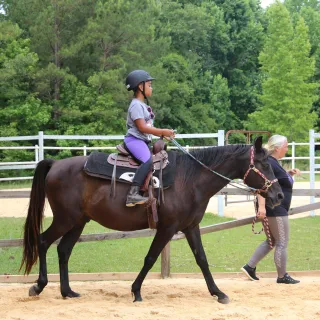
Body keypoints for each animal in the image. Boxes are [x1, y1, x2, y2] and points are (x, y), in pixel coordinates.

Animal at [20, 136, 282, 304]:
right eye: (264, 163)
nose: (278, 195)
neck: (190, 180)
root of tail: (55, 164)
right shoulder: (167, 228)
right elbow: (150, 258)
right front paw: (136, 291)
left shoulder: (190, 227)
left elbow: (202, 259)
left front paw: (218, 293)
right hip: (65, 219)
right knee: (43, 241)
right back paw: (39, 285)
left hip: (78, 222)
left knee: (64, 250)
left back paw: (67, 291)